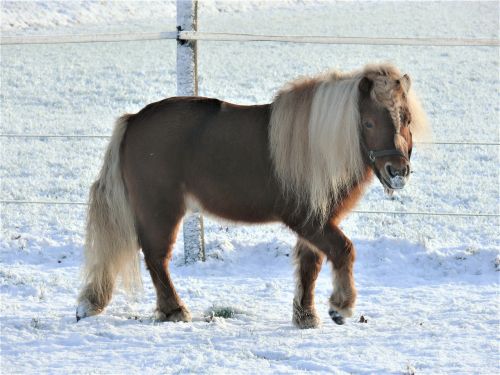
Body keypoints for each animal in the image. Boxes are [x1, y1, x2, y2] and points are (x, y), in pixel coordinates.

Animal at [76, 62, 428, 328]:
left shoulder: (319, 219)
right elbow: (343, 250)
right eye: (367, 123)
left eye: (407, 119)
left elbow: (310, 264)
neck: (317, 146)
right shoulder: (306, 218)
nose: (397, 171)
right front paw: (340, 307)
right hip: (160, 210)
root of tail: (133, 120)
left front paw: (305, 316)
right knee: (156, 257)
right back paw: (174, 310)